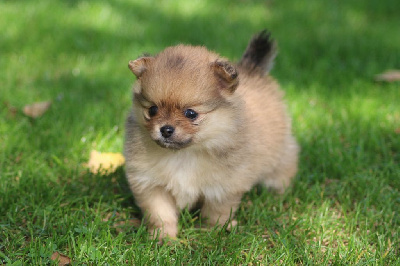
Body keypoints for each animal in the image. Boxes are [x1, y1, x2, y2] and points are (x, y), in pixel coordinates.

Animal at [123, 30, 298, 240]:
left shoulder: (222, 187)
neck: (184, 155)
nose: (165, 129)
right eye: (152, 110)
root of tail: (253, 70)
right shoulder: (151, 184)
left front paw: (211, 233)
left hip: (280, 155)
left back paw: (277, 194)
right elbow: (161, 214)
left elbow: (215, 213)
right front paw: (163, 237)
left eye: (191, 113)